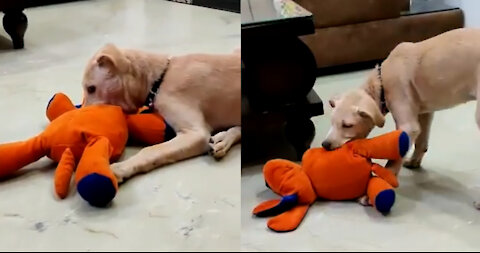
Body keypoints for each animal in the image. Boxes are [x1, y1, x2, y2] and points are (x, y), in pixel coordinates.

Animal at [82, 43, 242, 182]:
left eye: (91, 88)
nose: (82, 113)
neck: (159, 81)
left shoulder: (195, 133)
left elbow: (150, 150)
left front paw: (120, 168)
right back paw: (222, 140)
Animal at [322, 27, 480, 190]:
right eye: (332, 122)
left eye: (348, 125)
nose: (325, 145)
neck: (381, 83)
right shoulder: (425, 113)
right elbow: (421, 142)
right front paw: (414, 162)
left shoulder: (408, 127)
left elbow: (394, 158)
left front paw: (383, 181)